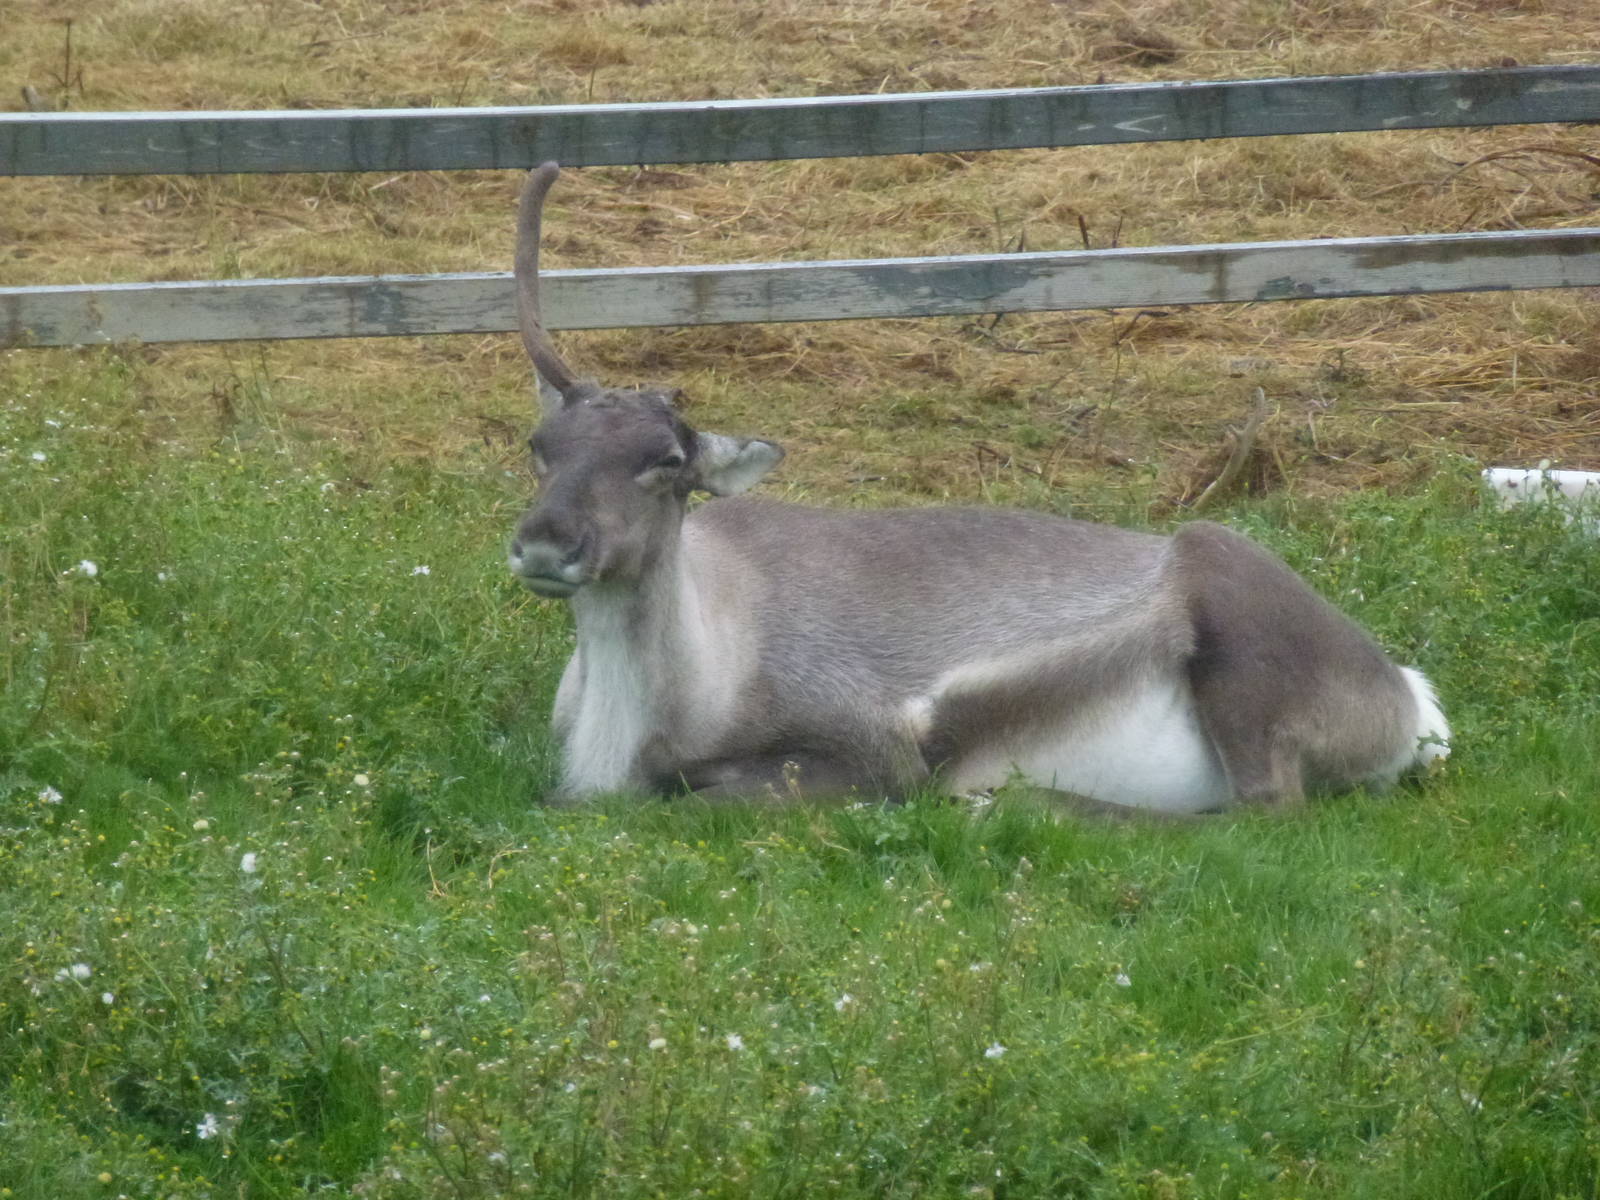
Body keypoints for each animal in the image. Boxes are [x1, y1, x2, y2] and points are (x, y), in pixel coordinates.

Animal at [506, 162, 1450, 814]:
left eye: (666, 461)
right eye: (541, 445)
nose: (547, 542)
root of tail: (1410, 704)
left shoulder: (867, 754)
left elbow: (690, 799)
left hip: (1236, 622)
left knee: (1266, 809)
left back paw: (1019, 801)